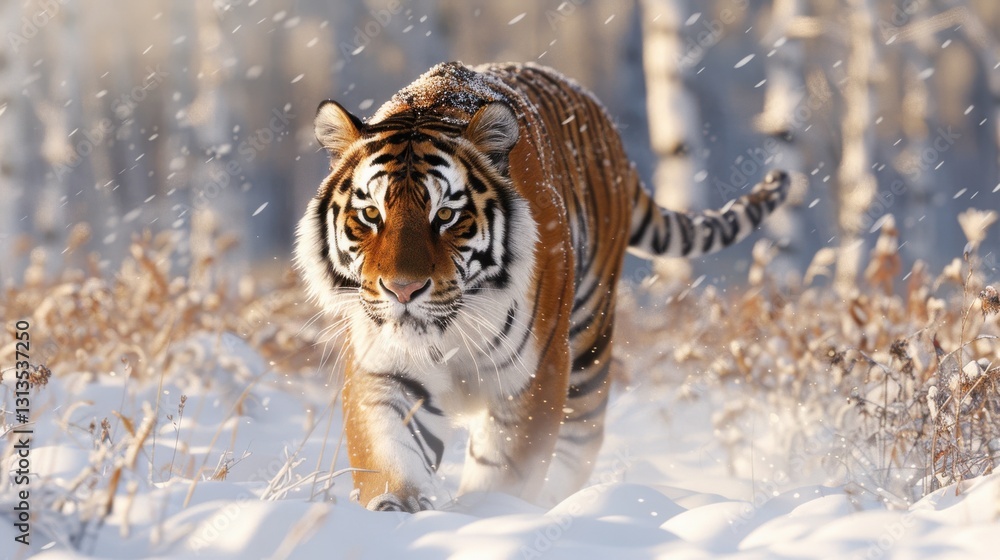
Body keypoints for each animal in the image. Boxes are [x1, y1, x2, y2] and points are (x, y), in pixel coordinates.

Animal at [295, 61, 788, 512]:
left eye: (446, 215)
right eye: (371, 215)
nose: (402, 290)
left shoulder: (533, 374)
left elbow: (507, 469)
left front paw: (486, 517)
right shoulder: (382, 369)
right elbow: (387, 459)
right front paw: (398, 517)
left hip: (587, 344)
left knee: (580, 440)